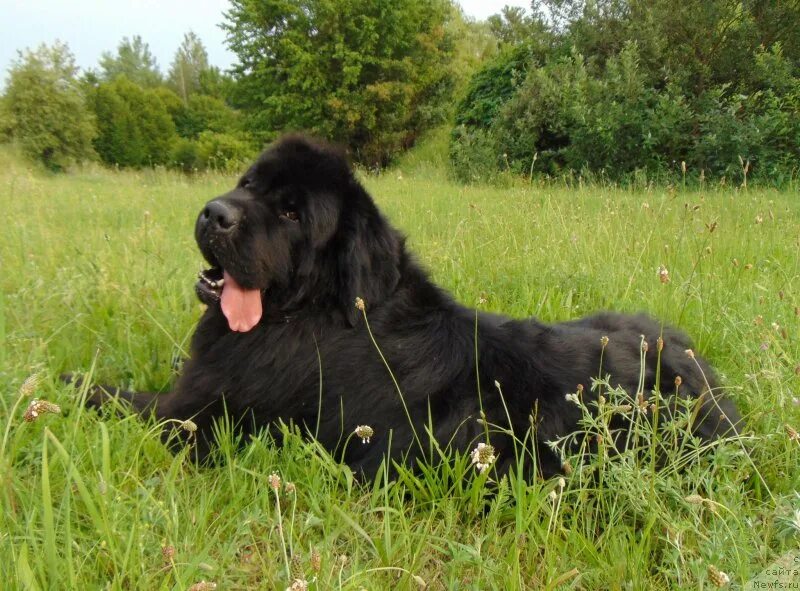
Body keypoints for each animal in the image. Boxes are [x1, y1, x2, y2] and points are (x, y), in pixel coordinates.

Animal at [84, 136, 740, 478]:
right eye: (248, 184)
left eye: (292, 213)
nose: (214, 213)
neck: (319, 307)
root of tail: (704, 378)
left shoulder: (195, 419)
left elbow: (109, 396)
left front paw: (67, 386)